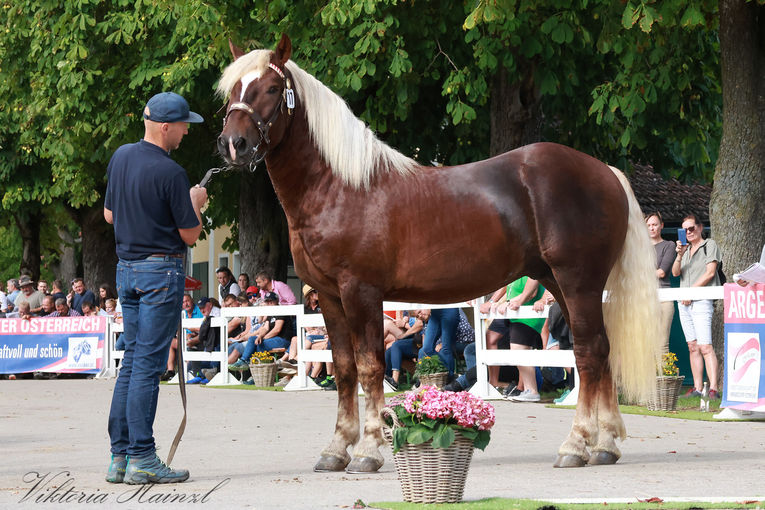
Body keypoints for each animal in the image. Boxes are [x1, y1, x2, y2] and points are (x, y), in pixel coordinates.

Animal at [216, 34, 664, 474]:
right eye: (232, 91)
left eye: (271, 89)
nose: (231, 144)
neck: (340, 188)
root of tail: (605, 171)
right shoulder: (328, 296)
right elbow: (344, 369)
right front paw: (336, 449)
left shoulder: (361, 291)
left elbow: (370, 366)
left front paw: (368, 451)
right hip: (559, 282)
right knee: (601, 352)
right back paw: (604, 446)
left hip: (578, 280)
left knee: (588, 353)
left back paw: (575, 445)